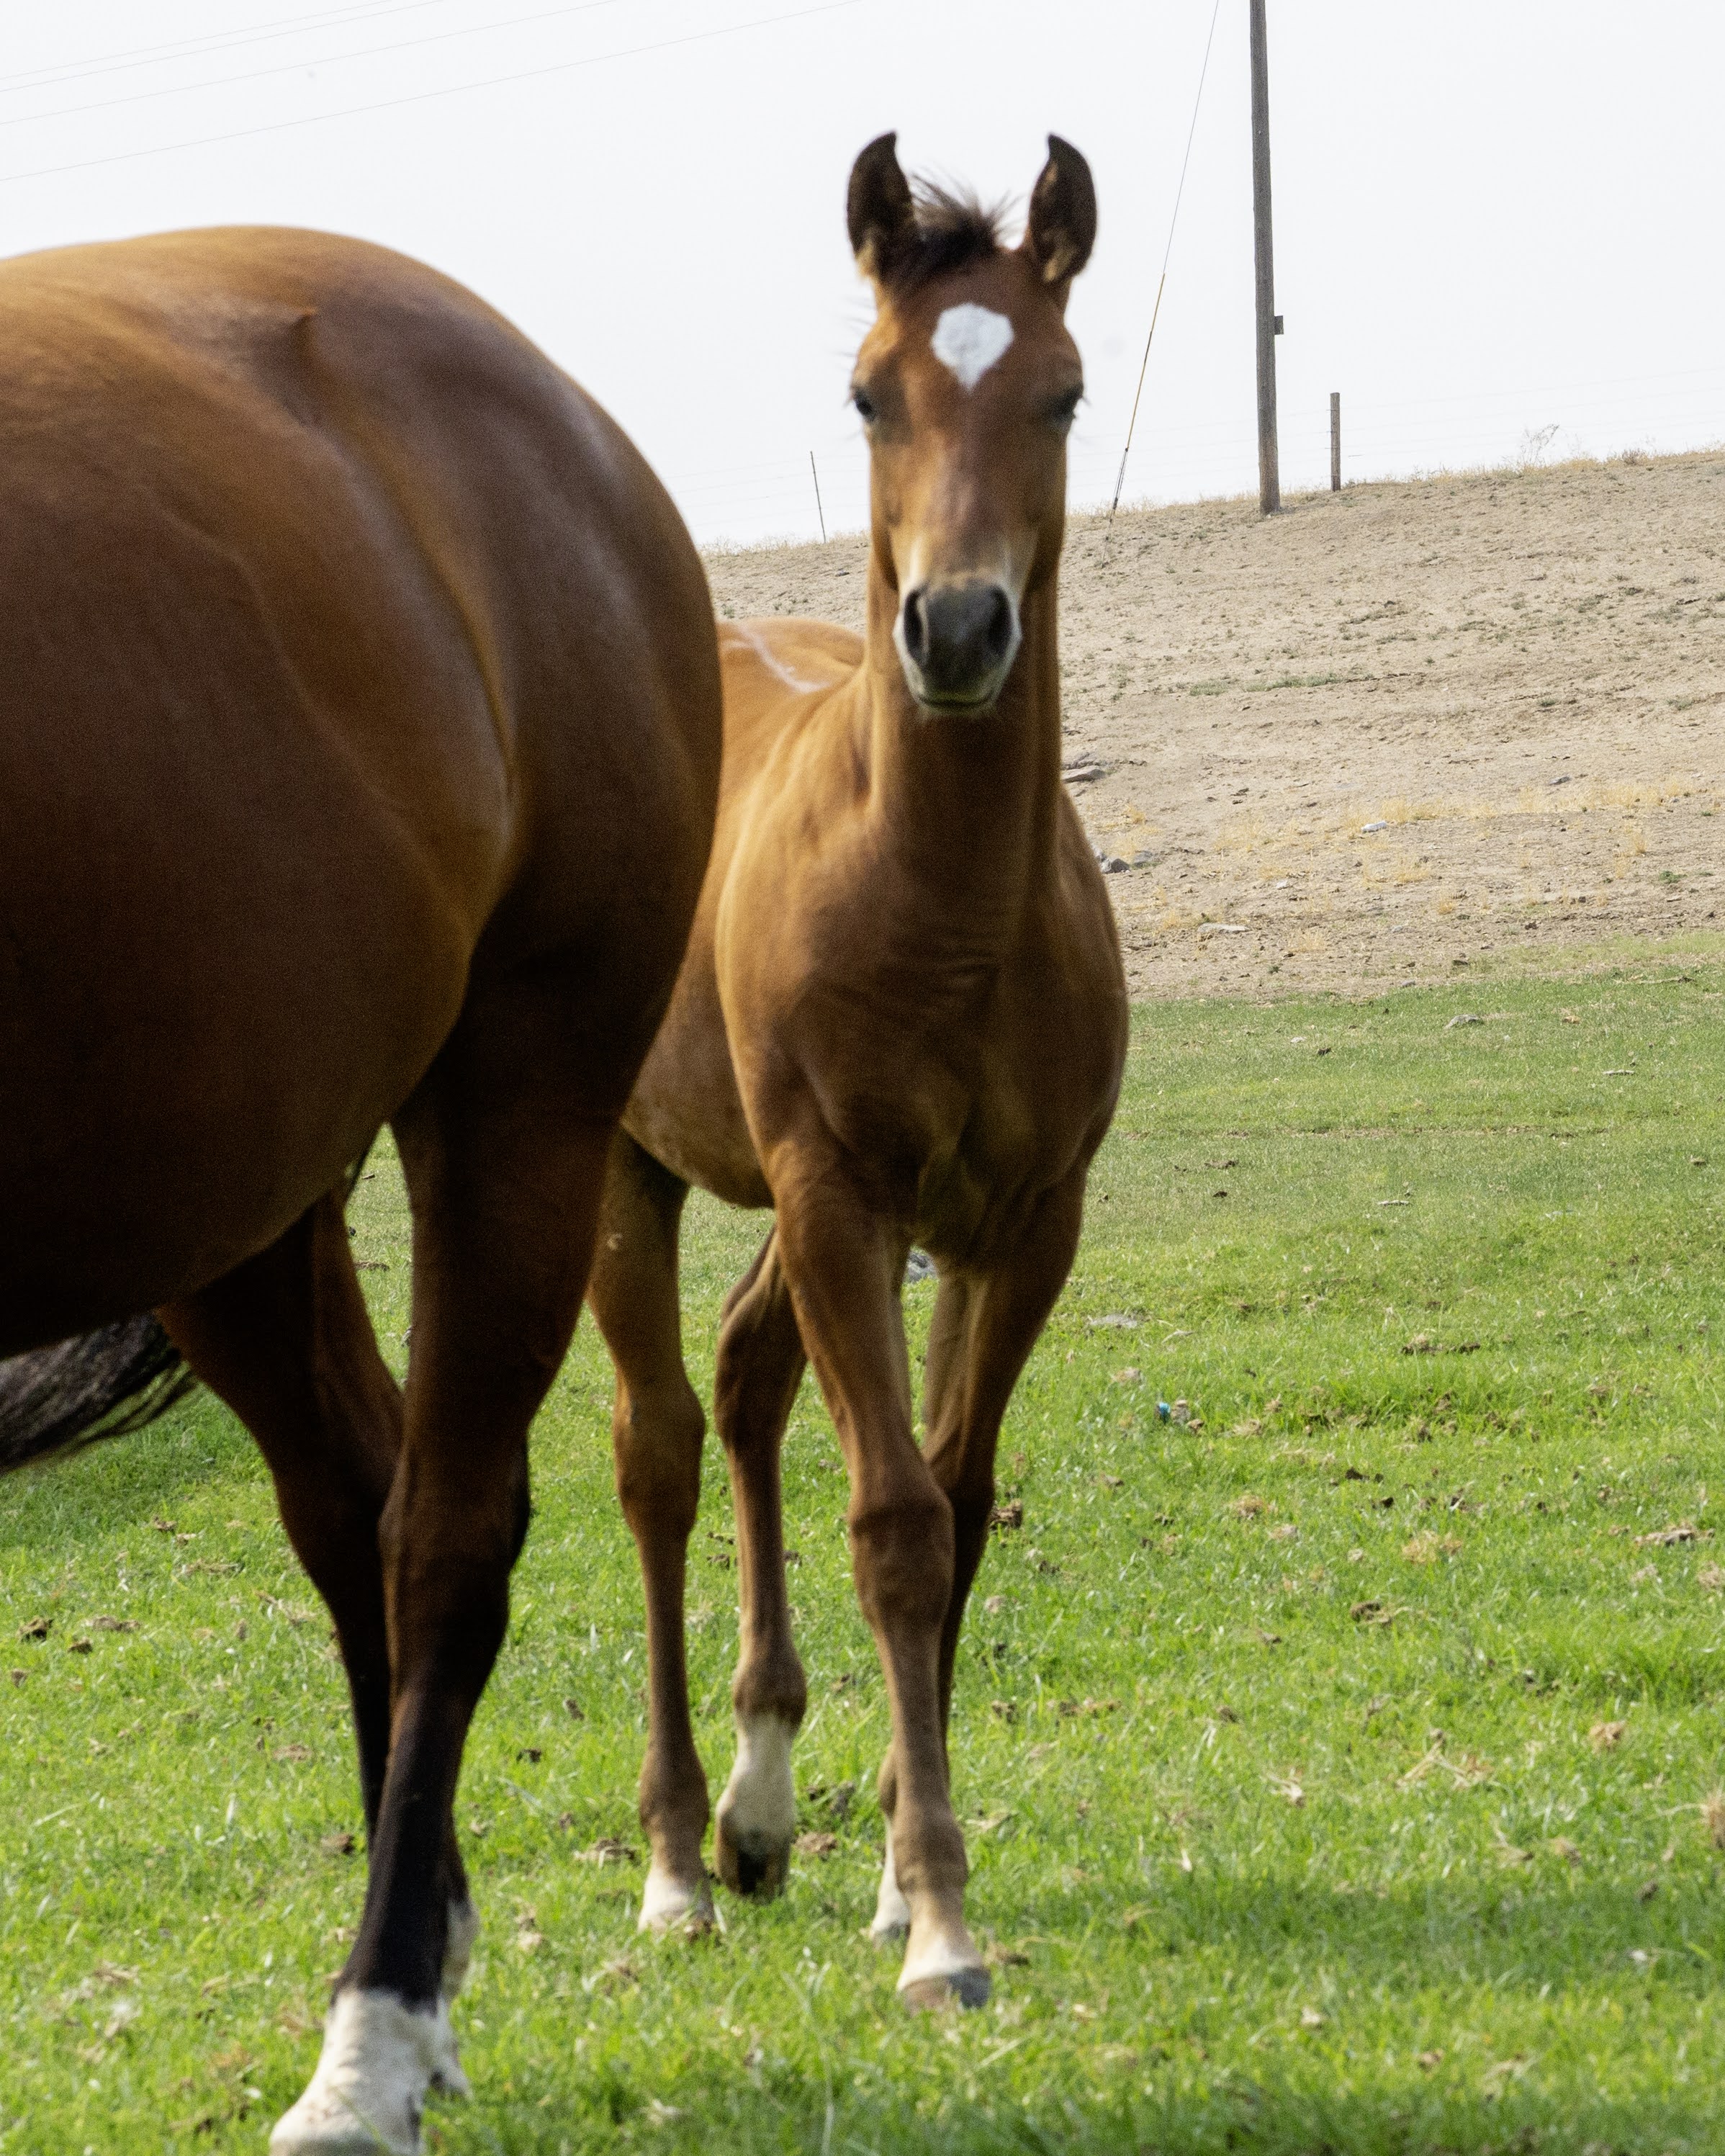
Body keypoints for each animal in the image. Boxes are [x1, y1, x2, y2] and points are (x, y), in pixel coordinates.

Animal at [585, 133, 1128, 2010]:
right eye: (867, 392)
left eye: (1063, 388)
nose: (954, 628)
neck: (940, 904)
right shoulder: (838, 1191)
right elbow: (891, 1519)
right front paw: (943, 1926)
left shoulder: (1016, 1222)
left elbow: (956, 1503)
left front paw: (900, 1873)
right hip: (635, 1168)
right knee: (661, 1447)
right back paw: (680, 1856)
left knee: (748, 1384)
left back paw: (759, 1809)